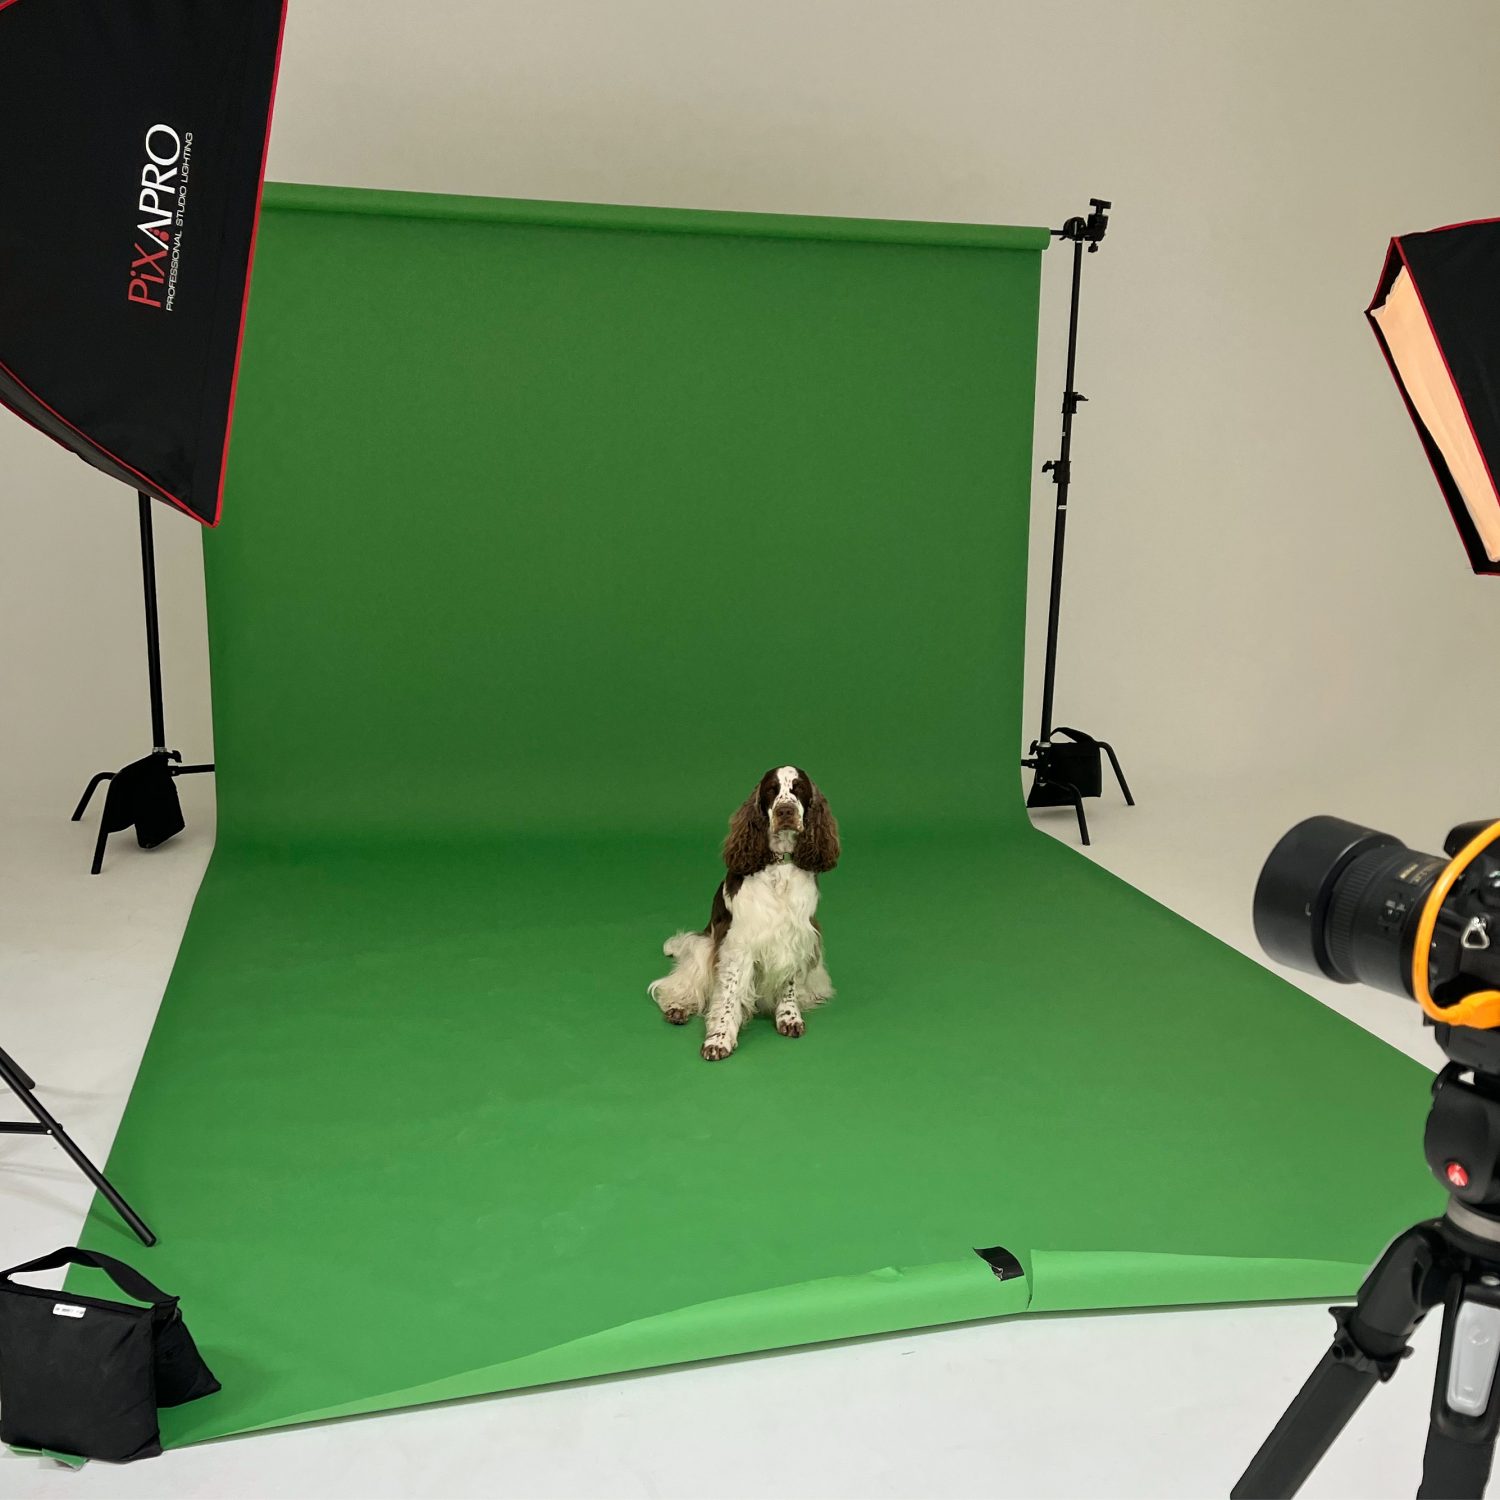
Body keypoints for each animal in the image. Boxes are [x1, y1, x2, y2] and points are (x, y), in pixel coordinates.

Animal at [649, 766, 840, 1061]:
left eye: (798, 788)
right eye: (772, 790)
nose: (785, 811)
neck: (779, 866)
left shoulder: (796, 938)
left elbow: (789, 984)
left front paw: (789, 1017)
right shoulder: (738, 944)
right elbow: (728, 995)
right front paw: (718, 1038)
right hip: (704, 947)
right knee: (678, 986)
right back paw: (678, 1008)